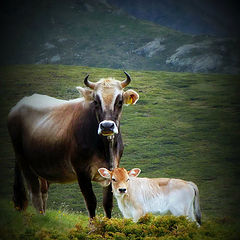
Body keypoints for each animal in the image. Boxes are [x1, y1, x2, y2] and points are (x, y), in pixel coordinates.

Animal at [7, 71, 139, 219]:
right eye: (95, 101)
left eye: (120, 101)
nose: (107, 126)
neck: (106, 148)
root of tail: (18, 106)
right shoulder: (81, 171)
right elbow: (91, 201)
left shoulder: (112, 170)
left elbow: (107, 204)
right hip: (24, 161)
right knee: (34, 193)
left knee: (43, 192)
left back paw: (44, 216)